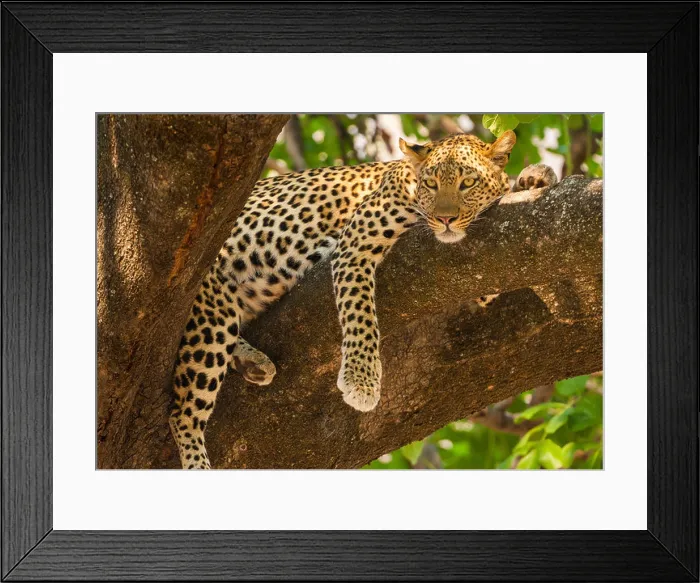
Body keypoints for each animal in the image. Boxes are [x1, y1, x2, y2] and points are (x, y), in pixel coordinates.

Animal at [169, 130, 557, 469]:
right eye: (431, 185)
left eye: (468, 183)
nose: (445, 219)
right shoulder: (355, 243)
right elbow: (360, 315)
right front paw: (361, 381)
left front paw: (534, 178)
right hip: (210, 305)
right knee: (181, 411)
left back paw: (252, 362)